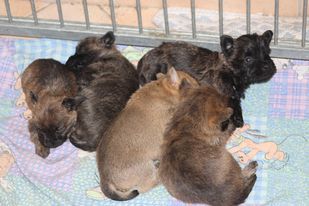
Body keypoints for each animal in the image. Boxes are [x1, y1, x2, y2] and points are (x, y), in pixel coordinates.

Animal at [136, 30, 276, 127]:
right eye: (248, 59)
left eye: (266, 53)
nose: (268, 66)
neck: (228, 71)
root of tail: (142, 61)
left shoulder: (233, 94)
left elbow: (235, 102)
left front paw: (238, 118)